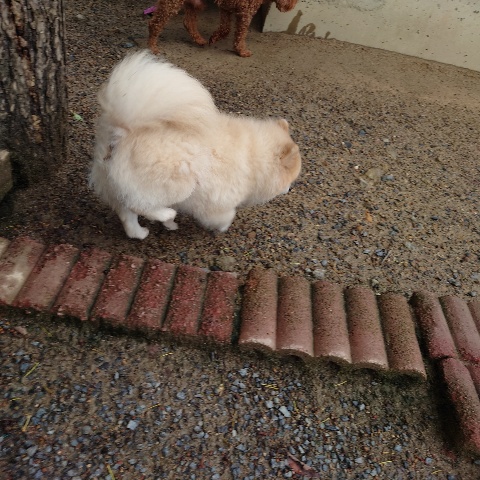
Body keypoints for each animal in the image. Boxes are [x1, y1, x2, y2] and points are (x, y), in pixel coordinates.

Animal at [89, 51, 301, 239]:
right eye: (291, 179)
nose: (289, 190)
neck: (254, 159)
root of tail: (122, 132)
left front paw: (169, 225)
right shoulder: (219, 200)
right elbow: (226, 215)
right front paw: (221, 227)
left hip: (121, 186)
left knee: (127, 213)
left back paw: (141, 232)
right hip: (178, 184)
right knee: (138, 205)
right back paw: (165, 214)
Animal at [148, 0, 298, 57]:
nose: (290, 7)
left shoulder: (226, 8)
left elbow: (225, 29)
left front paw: (214, 38)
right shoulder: (245, 14)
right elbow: (240, 35)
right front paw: (241, 51)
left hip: (192, 3)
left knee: (188, 22)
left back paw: (199, 39)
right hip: (172, 3)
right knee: (154, 23)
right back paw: (153, 47)